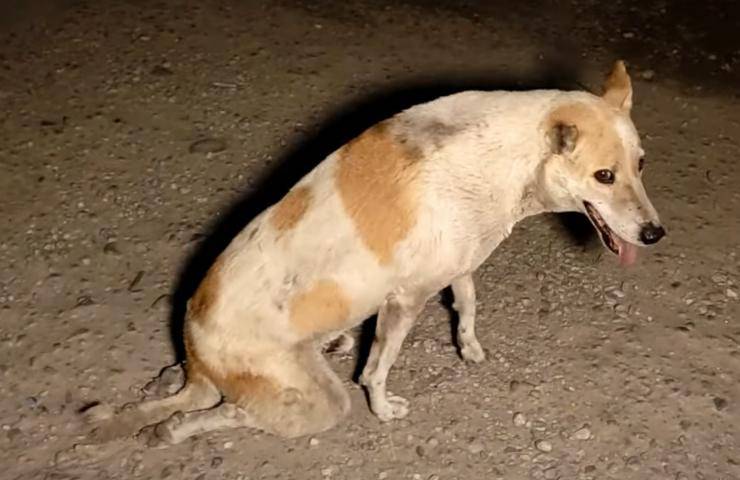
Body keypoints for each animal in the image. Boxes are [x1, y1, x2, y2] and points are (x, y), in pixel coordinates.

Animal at [85, 61, 664, 446]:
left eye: (641, 164)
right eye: (604, 176)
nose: (656, 234)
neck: (508, 160)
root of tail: (196, 352)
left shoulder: (457, 266)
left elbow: (467, 306)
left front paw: (470, 348)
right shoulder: (405, 300)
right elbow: (378, 370)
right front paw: (384, 411)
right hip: (320, 401)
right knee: (229, 413)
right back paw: (174, 428)